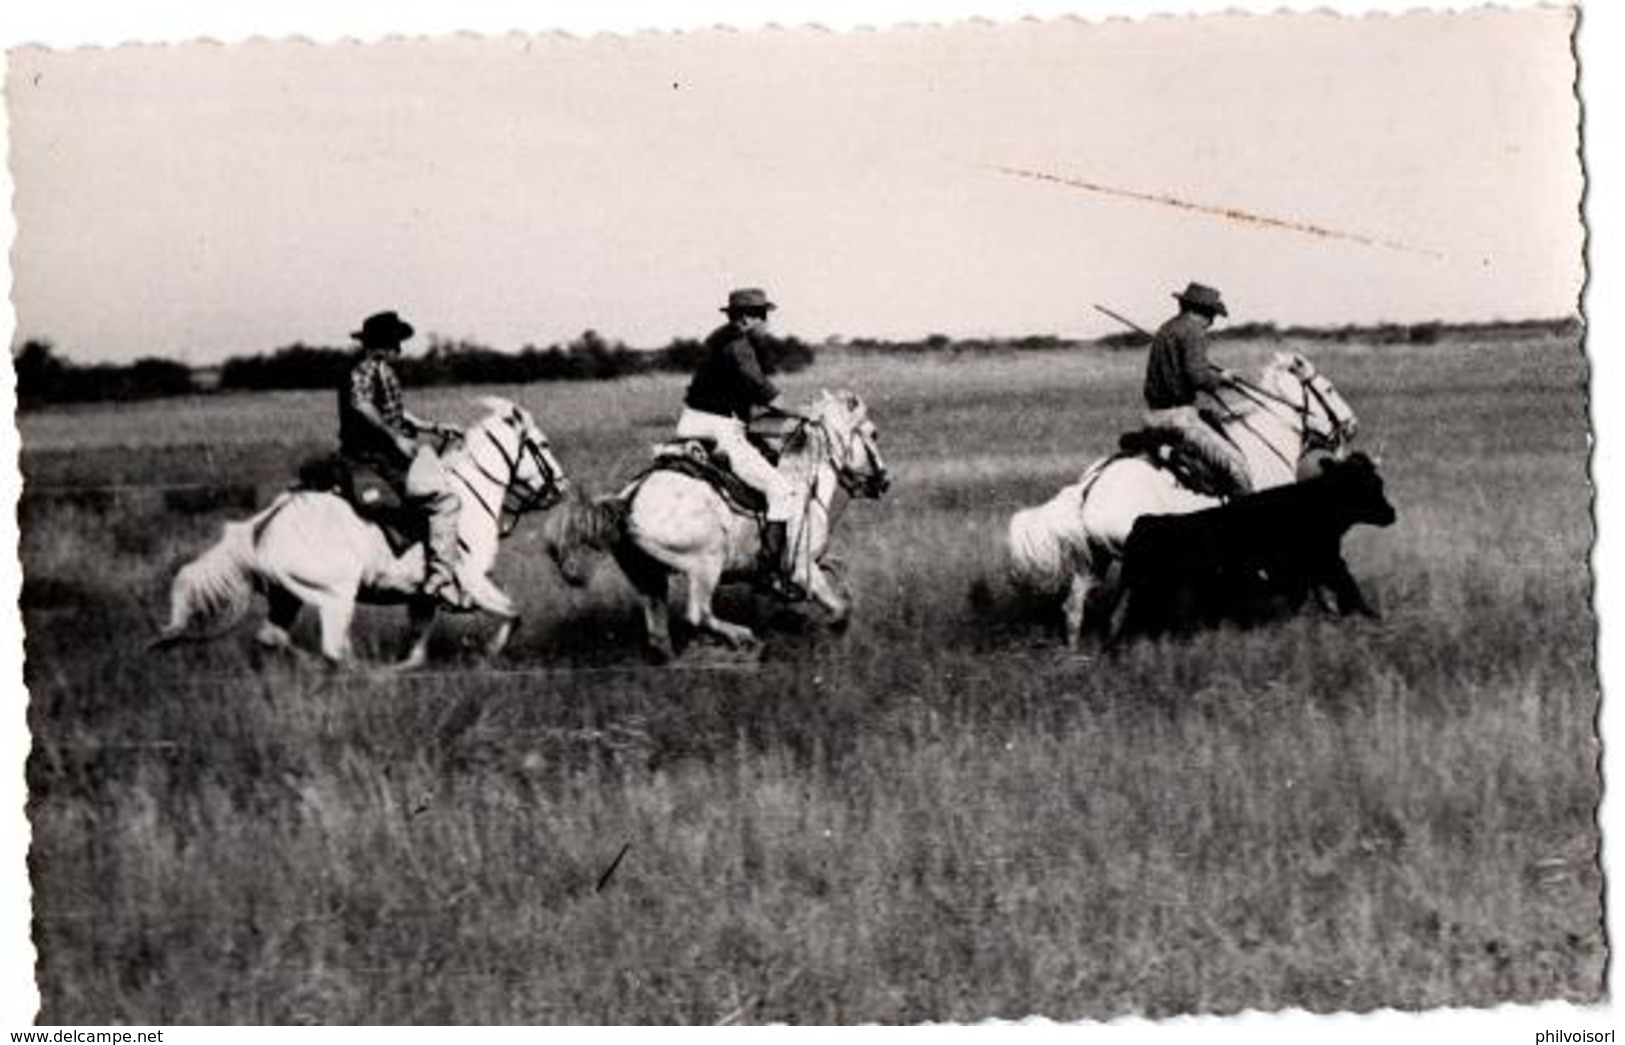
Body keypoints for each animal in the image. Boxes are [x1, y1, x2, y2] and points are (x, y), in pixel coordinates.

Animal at [153, 396, 572, 676]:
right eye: (543, 445)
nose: (562, 489)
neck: (466, 498)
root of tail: (266, 521)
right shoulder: (472, 582)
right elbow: (513, 614)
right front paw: (489, 653)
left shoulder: (423, 597)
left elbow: (416, 650)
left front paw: (404, 669)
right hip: (335, 595)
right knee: (330, 650)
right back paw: (354, 673)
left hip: (288, 597)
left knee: (275, 640)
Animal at [552, 388, 897, 659]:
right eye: (874, 433)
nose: (883, 482)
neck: (803, 479)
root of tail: (629, 499)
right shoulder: (801, 566)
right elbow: (839, 608)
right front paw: (831, 629)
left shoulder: (815, 560)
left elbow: (840, 570)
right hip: (706, 563)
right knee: (699, 615)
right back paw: (742, 636)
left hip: (649, 578)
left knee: (659, 635)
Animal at [1007, 351, 1352, 646]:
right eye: (1329, 389)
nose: (1351, 424)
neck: (1264, 442)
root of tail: (1090, 485)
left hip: (1094, 560)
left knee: (1074, 608)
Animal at [1118, 455, 1397, 640]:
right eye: (1367, 486)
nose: (1391, 513)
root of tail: (1146, 521)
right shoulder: (1325, 564)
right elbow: (1350, 591)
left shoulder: (1310, 573)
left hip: (1145, 598)